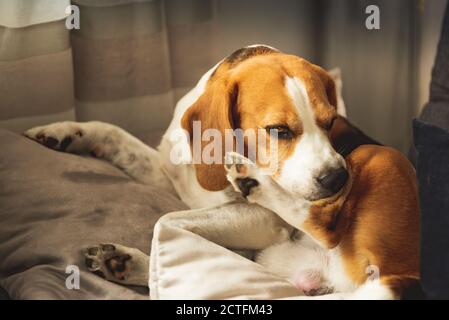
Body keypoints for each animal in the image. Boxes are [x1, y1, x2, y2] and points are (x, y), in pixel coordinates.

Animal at [24, 45, 418, 300]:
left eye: (331, 121)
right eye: (279, 131)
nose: (339, 180)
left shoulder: (264, 218)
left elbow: (166, 221)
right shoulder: (171, 174)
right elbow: (113, 134)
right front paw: (66, 132)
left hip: (380, 160)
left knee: (323, 227)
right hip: (273, 263)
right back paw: (122, 262)